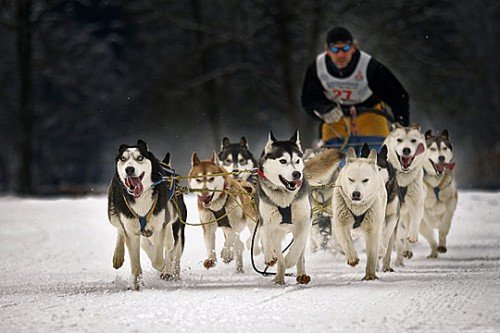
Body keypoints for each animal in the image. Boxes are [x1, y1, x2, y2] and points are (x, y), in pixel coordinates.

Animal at [108, 139, 187, 290]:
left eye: (139, 158)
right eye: (123, 159)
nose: (129, 169)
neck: (141, 197)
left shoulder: (159, 227)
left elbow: (159, 259)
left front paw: (164, 268)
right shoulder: (131, 232)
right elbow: (136, 264)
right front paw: (136, 285)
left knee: (171, 246)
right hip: (113, 214)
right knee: (120, 229)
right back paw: (118, 256)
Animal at [256, 129, 310, 282]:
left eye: (297, 161)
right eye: (283, 161)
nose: (297, 173)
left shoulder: (305, 220)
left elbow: (299, 242)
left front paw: (291, 259)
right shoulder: (266, 221)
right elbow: (265, 236)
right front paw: (269, 255)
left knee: (301, 255)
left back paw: (301, 274)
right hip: (277, 232)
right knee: (279, 255)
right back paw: (279, 276)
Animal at [332, 147, 386, 278]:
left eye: (365, 180)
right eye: (351, 179)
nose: (356, 194)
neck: (358, 208)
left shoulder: (372, 228)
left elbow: (372, 253)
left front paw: (370, 276)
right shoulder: (341, 223)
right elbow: (346, 241)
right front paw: (352, 258)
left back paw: (381, 252)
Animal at [382, 123, 426, 266]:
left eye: (413, 140)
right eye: (399, 140)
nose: (406, 150)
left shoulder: (417, 203)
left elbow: (415, 220)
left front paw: (412, 236)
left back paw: (406, 251)